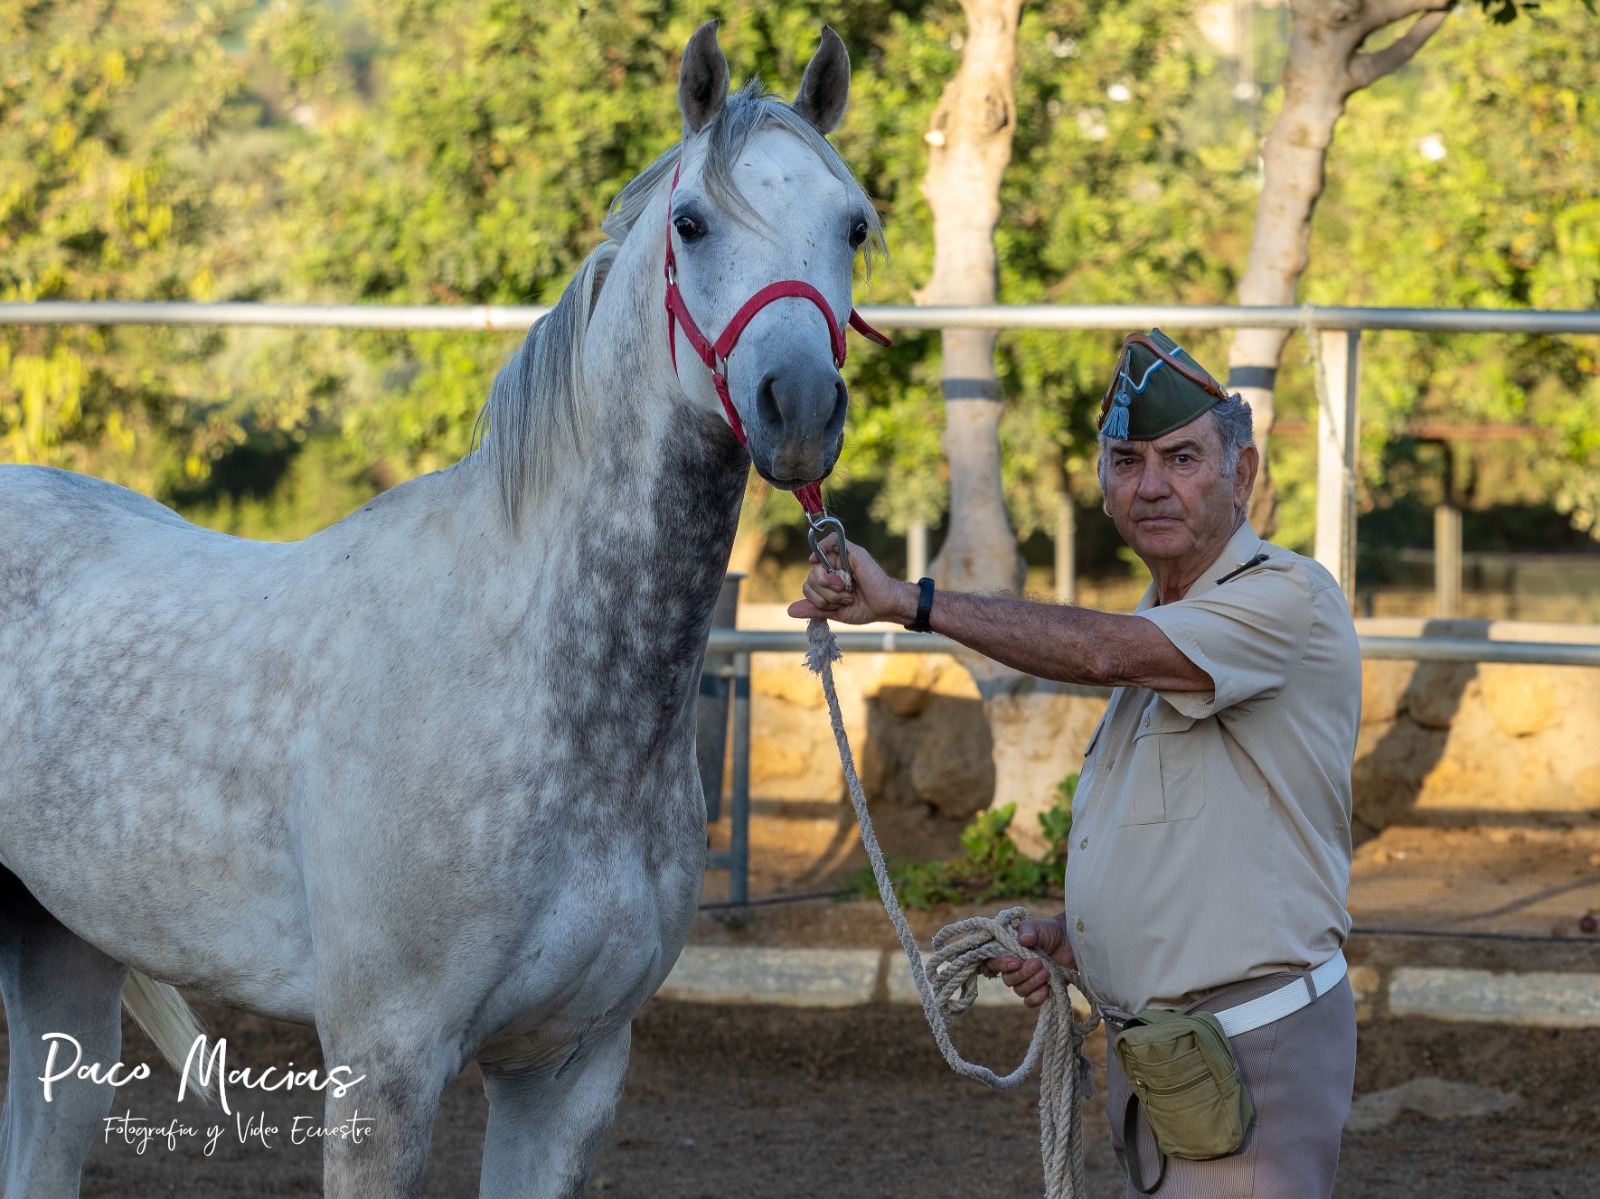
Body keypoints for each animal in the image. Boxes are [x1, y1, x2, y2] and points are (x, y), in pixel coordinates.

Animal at [0, 22, 884, 1198]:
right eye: (692, 223)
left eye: (852, 224)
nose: (801, 405)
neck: (541, 687)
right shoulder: (385, 1066)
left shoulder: (569, 1071)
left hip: (64, 948)